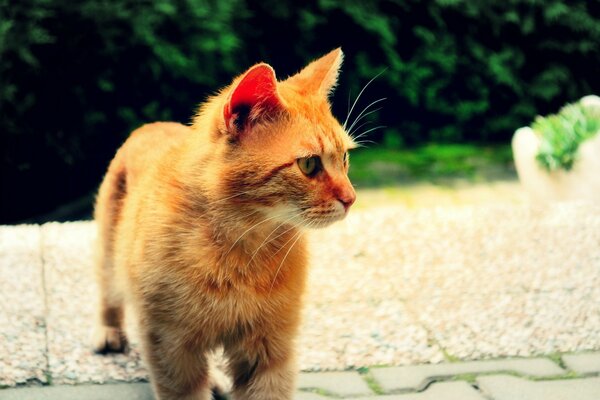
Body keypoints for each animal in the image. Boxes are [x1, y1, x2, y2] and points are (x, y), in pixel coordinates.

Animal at [92, 49, 356, 400]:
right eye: (309, 164)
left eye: (344, 159)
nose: (351, 198)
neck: (242, 250)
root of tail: (151, 125)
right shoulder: (171, 347)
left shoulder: (270, 348)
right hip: (109, 255)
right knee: (109, 293)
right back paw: (109, 332)